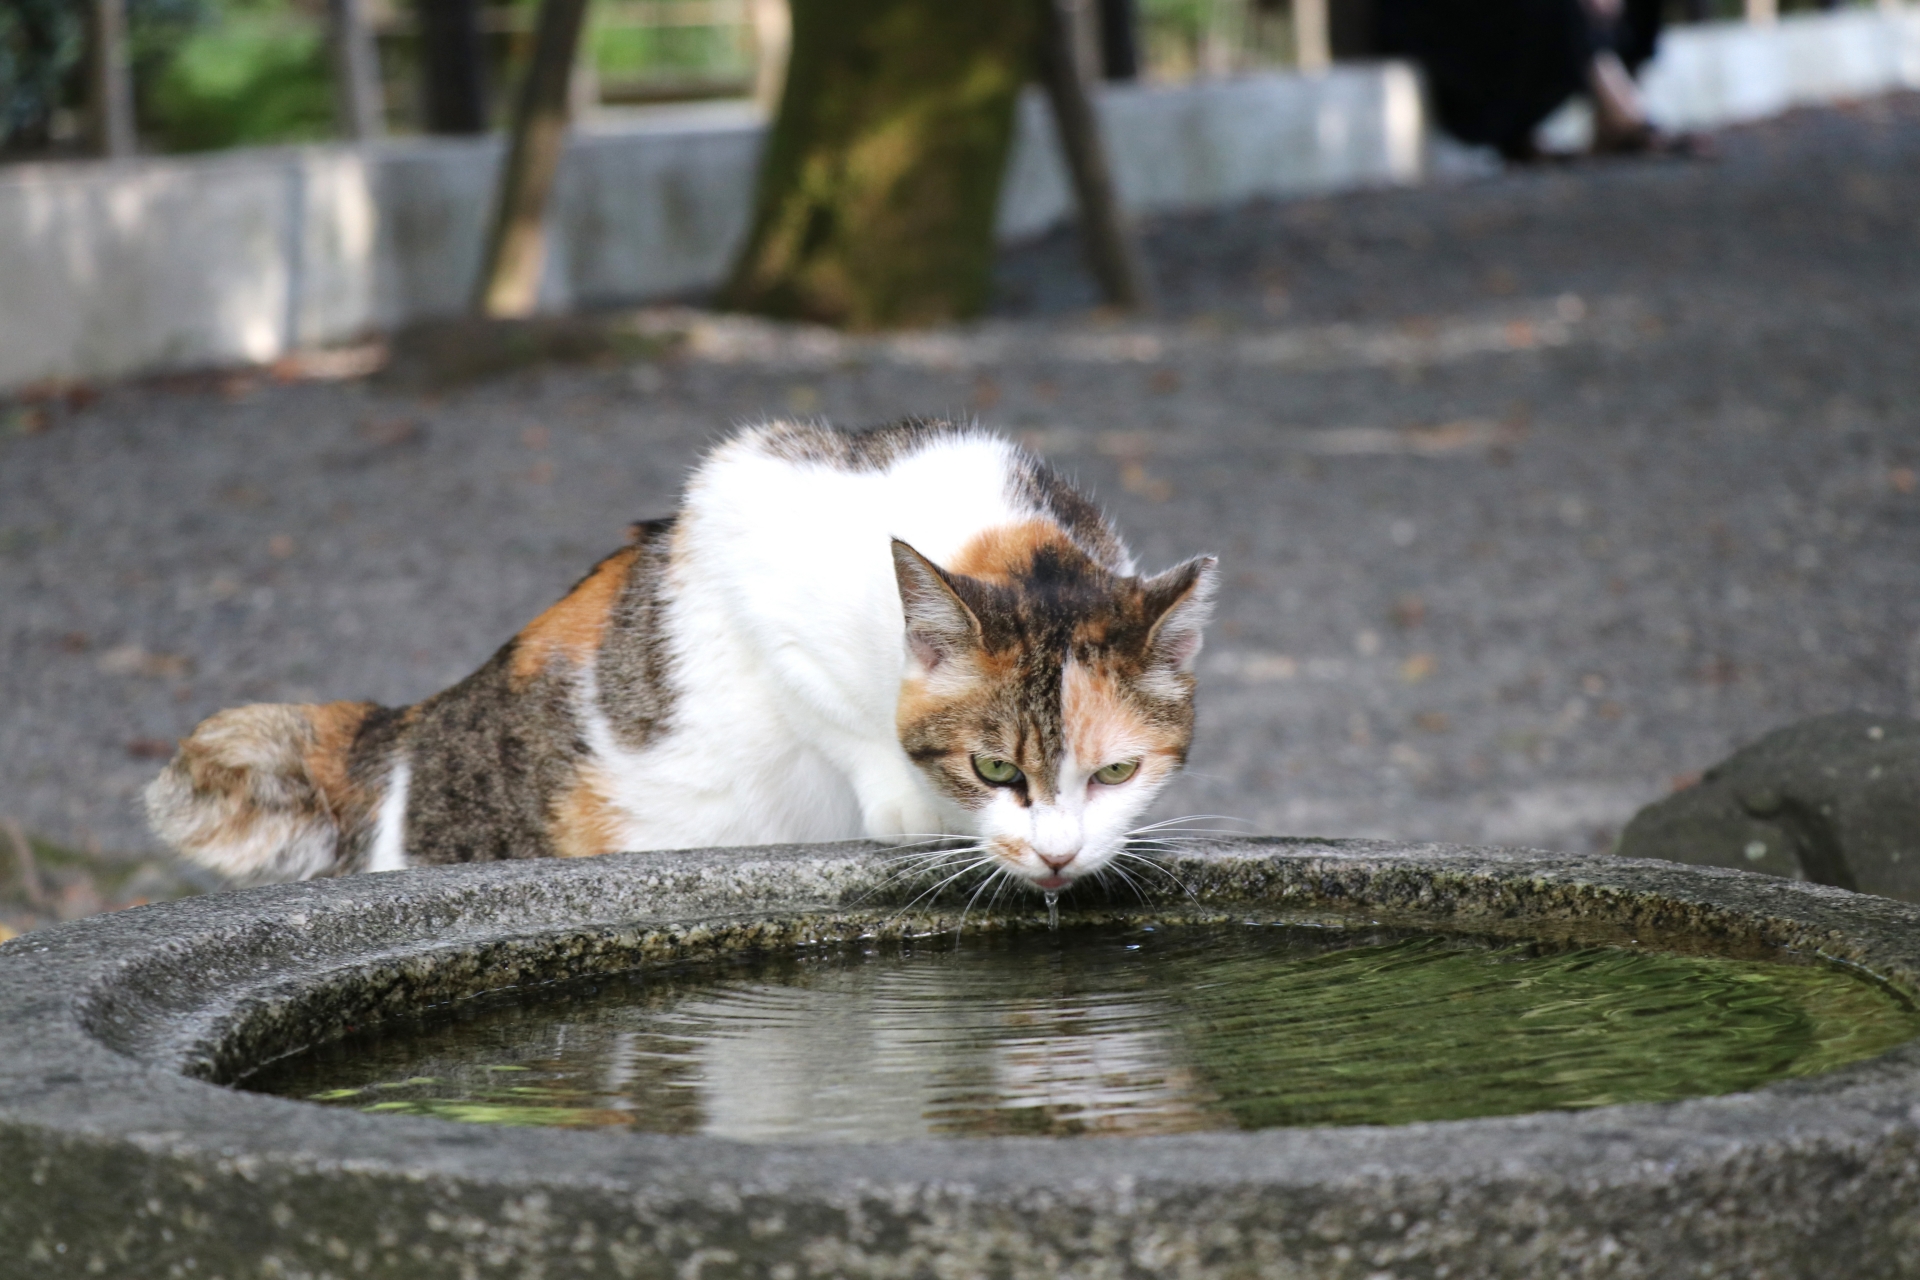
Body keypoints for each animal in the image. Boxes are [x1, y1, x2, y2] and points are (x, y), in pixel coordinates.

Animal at [149, 420, 1213, 890]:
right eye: (994, 769)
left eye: (1117, 772)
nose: (1059, 856)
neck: (1006, 542)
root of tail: (406, 728)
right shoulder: (740, 498)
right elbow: (834, 703)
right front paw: (910, 804)